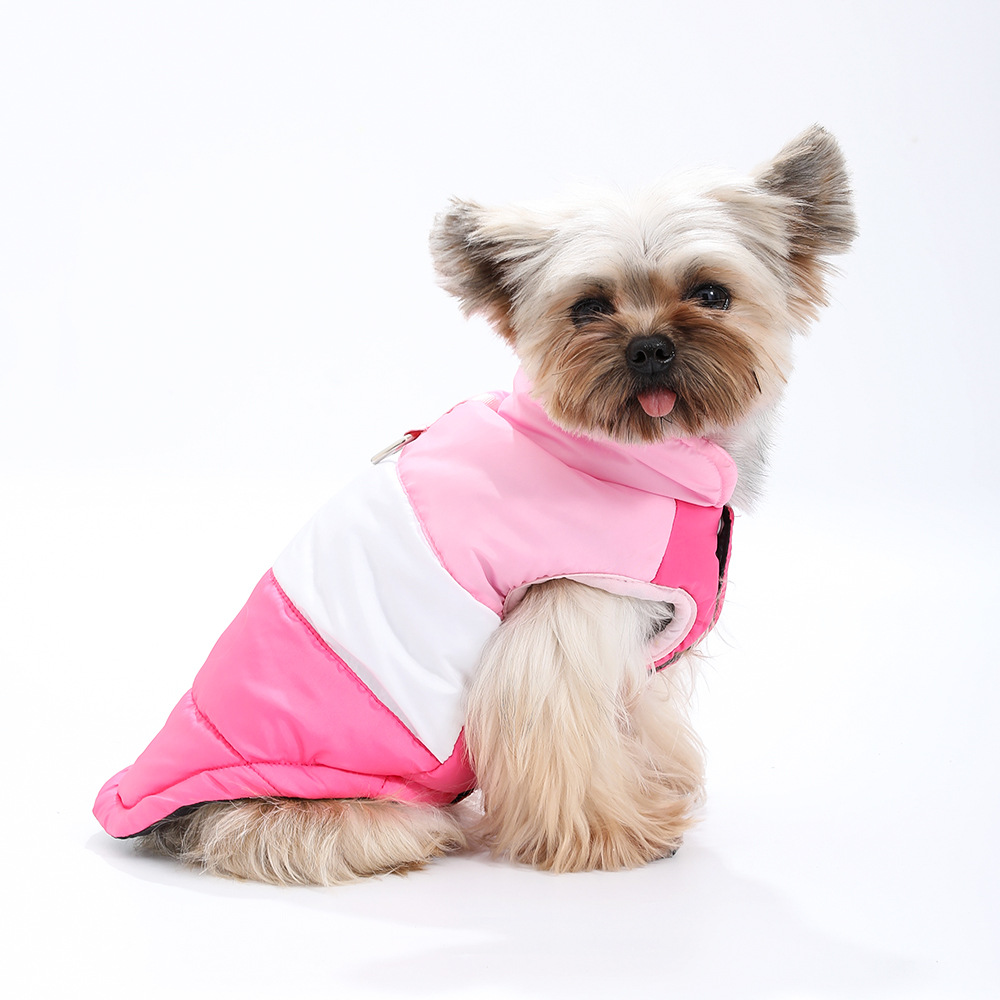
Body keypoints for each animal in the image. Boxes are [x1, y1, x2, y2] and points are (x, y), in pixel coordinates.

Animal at [94, 126, 855, 884]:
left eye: (710, 293)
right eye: (589, 307)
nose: (649, 348)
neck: (631, 456)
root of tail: (162, 818)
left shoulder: (633, 653)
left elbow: (639, 724)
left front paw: (656, 798)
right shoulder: (558, 626)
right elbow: (569, 745)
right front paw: (616, 836)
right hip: (339, 808)